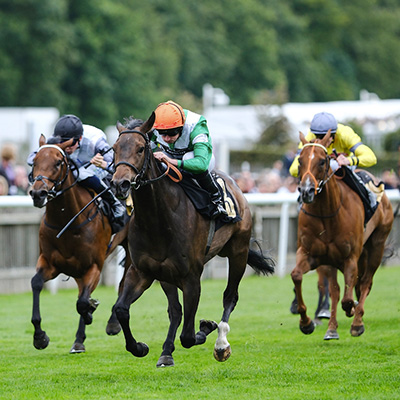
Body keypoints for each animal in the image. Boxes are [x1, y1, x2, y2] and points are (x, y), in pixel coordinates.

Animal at [28, 134, 131, 354]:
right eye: (35, 161)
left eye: (58, 162)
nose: (38, 193)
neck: (66, 220)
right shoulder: (49, 262)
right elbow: (36, 283)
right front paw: (40, 337)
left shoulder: (93, 266)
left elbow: (83, 302)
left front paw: (91, 310)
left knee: (122, 283)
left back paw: (112, 324)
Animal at [109, 114, 276, 368]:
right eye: (115, 149)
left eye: (140, 148)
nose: (120, 184)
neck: (158, 219)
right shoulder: (142, 271)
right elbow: (121, 309)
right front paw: (139, 347)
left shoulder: (191, 278)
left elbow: (188, 336)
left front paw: (206, 327)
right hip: (166, 274)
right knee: (175, 310)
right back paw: (166, 352)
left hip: (238, 251)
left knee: (230, 296)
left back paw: (221, 343)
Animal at [290, 133, 394, 340]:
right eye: (300, 161)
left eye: (322, 161)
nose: (306, 191)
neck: (327, 214)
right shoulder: (312, 254)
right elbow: (298, 276)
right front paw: (306, 323)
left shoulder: (350, 257)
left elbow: (348, 297)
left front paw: (353, 312)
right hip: (334, 260)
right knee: (337, 290)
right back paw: (332, 328)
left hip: (377, 245)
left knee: (365, 282)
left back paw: (357, 322)